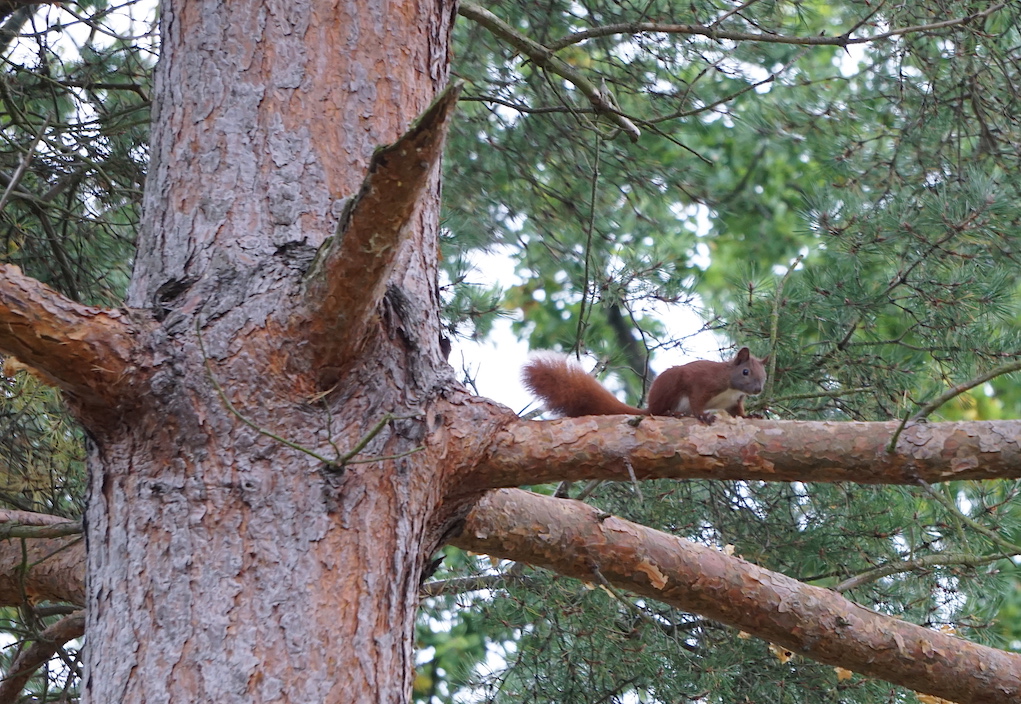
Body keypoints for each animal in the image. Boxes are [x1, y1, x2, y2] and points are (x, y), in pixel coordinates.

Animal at [526, 346, 767, 422]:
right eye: (745, 372)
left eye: (764, 375)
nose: (758, 390)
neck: (731, 387)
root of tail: (649, 406)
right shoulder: (703, 383)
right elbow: (697, 401)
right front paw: (703, 415)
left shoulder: (733, 401)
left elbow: (738, 413)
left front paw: (751, 416)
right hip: (670, 387)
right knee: (660, 412)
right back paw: (672, 413)